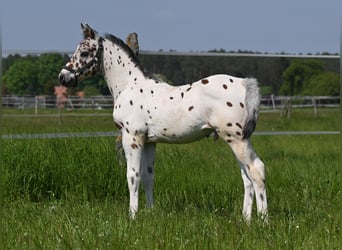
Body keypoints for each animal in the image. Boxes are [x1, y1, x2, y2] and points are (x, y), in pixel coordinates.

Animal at [58, 23, 268, 221]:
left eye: (85, 52)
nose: (63, 77)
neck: (129, 85)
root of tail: (244, 83)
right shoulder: (150, 142)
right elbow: (148, 176)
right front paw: (150, 213)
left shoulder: (132, 138)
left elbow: (132, 176)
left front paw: (132, 216)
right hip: (236, 140)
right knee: (246, 177)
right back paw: (246, 219)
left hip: (236, 139)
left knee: (257, 170)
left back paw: (263, 220)